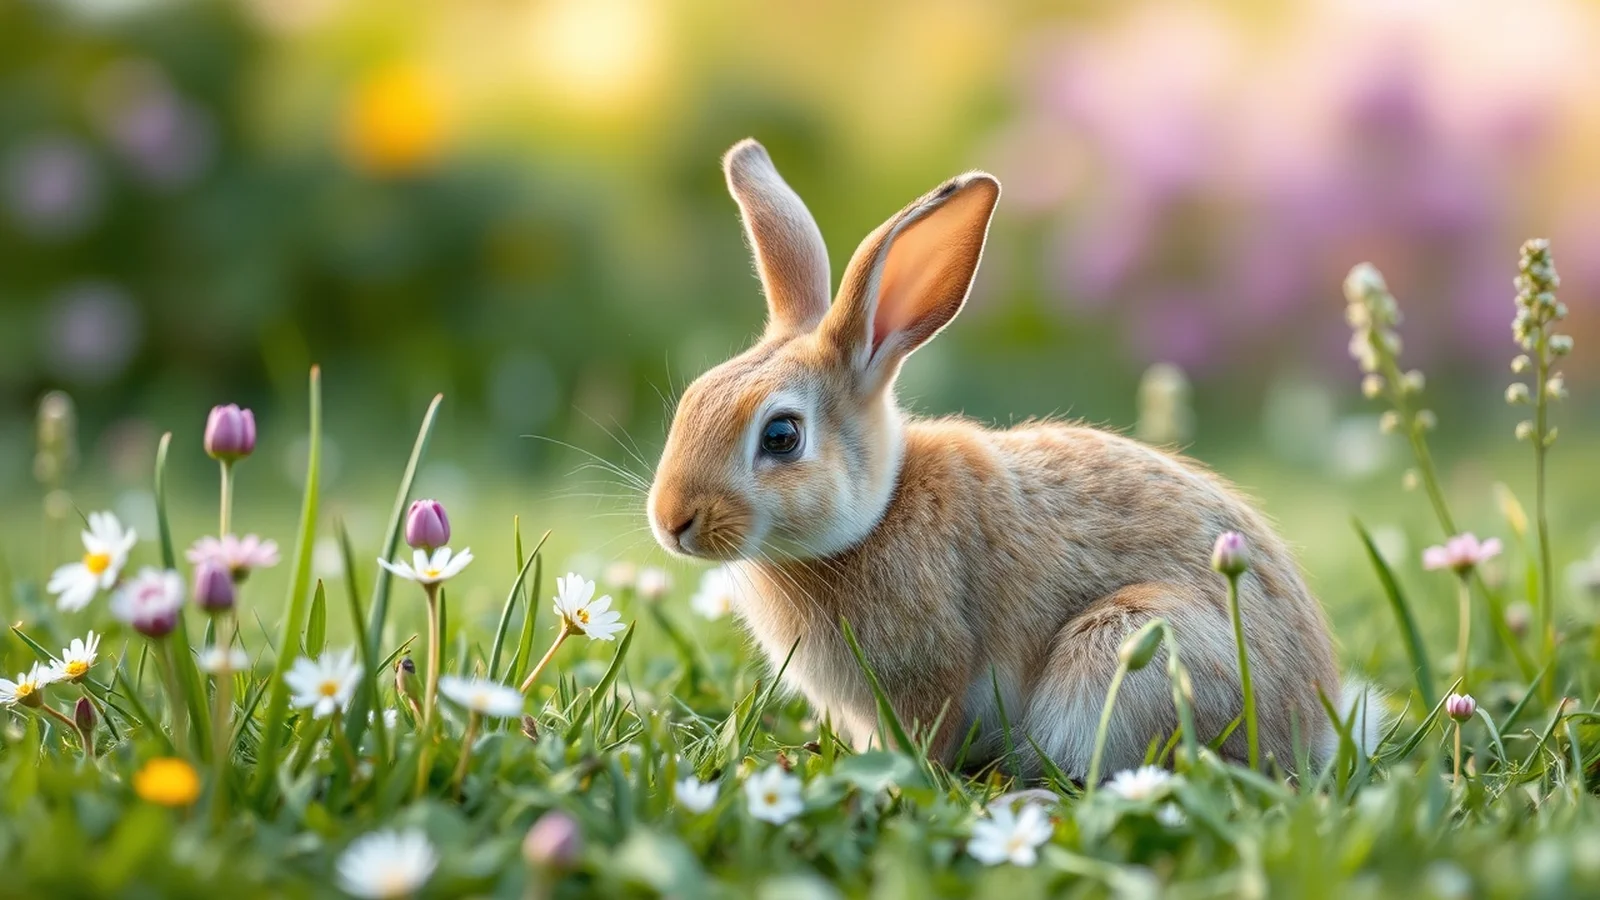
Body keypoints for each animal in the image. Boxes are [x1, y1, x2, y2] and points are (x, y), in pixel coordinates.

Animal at [647, 138, 1380, 779]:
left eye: (781, 436)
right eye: (693, 400)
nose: (672, 521)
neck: (876, 515)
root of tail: (1309, 724)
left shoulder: (932, 667)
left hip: (1126, 649)